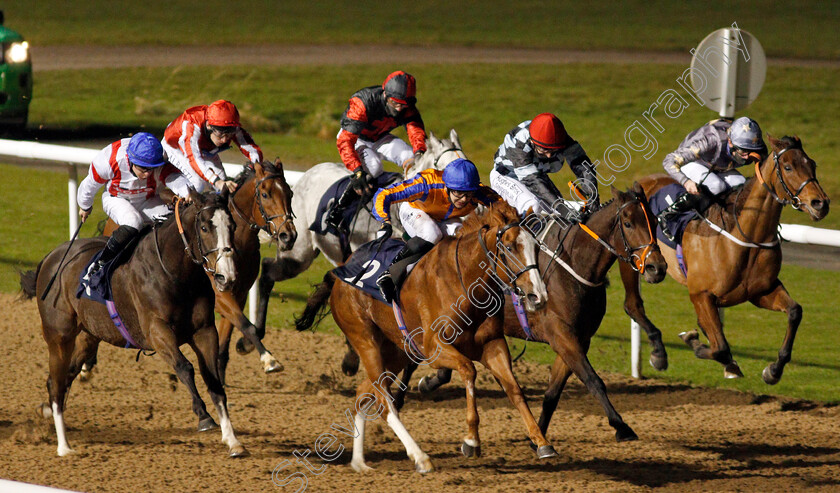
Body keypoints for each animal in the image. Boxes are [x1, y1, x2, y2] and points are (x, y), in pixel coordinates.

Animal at [18, 193, 249, 458]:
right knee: (56, 383)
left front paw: (232, 440)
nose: (226, 277)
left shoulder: (204, 331)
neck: (174, 271)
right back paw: (64, 446)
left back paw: (48, 412)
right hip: (58, 335)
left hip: (89, 335)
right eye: (204, 228)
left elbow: (214, 382)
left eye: (232, 226)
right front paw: (203, 415)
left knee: (64, 375)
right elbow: (185, 367)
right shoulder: (157, 330)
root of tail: (51, 256)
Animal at [296, 200, 556, 472]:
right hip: (364, 339)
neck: (464, 279)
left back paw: (359, 462)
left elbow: (514, 388)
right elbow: (468, 370)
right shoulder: (434, 348)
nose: (538, 296)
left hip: (396, 351)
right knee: (384, 403)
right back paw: (420, 457)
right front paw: (471, 440)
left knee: (363, 393)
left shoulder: (492, 344)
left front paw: (541, 442)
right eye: (509, 245)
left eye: (535, 246)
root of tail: (338, 273)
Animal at [370, 183, 668, 440]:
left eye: (654, 222)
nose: (657, 268)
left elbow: (552, 394)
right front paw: (621, 426)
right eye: (628, 223)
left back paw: (419, 386)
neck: (572, 266)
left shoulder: (578, 339)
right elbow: (594, 380)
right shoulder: (562, 335)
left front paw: (538, 434)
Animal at [620, 135, 832, 380]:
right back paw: (658, 354)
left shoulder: (761, 291)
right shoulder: (700, 294)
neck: (744, 236)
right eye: (788, 167)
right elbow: (720, 348)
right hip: (630, 257)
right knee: (632, 304)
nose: (821, 203)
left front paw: (773, 370)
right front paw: (696, 342)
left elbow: (795, 311)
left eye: (812, 164)